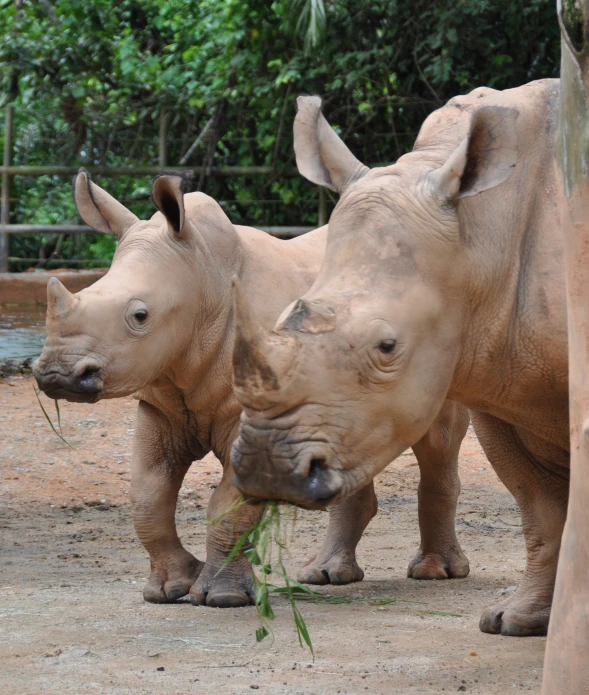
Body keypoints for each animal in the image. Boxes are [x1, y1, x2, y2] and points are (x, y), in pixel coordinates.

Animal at [34, 171, 470, 608]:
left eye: (140, 316)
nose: (57, 373)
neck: (202, 281)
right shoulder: (162, 404)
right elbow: (147, 495)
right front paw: (169, 589)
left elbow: (228, 504)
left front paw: (221, 597)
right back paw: (325, 576)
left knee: (437, 442)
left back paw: (435, 573)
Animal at [231, 79, 568, 640]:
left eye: (387, 347)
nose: (266, 467)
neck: (479, 234)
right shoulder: (498, 380)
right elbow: (540, 511)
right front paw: (518, 622)